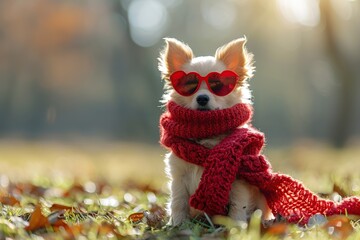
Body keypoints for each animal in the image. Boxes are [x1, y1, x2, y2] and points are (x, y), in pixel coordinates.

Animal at [158, 38, 272, 227]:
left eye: (218, 86)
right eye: (190, 85)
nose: (202, 98)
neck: (207, 137)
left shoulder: (238, 181)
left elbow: (237, 204)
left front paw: (236, 226)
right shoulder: (179, 177)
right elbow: (178, 201)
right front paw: (177, 224)